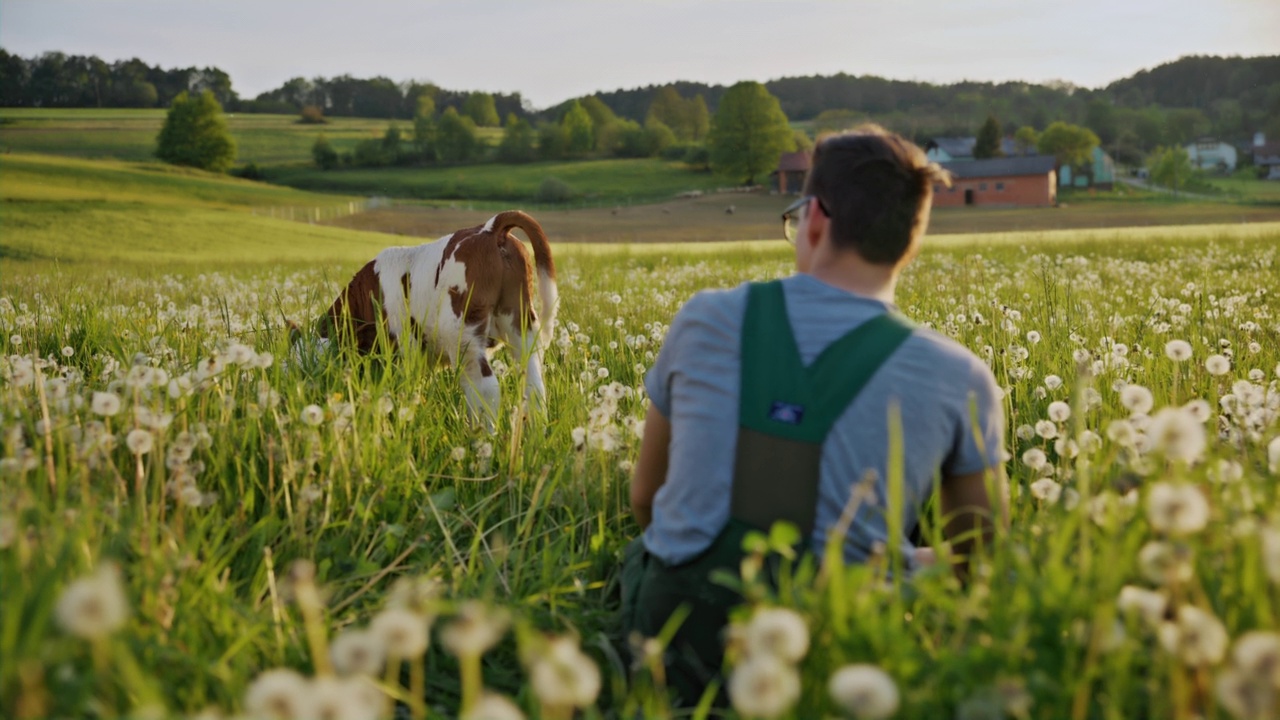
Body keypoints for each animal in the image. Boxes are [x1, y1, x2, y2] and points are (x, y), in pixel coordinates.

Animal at [318, 207, 555, 422]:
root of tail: (490, 228)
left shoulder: (405, 351)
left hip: (462, 336)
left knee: (485, 388)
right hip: (521, 325)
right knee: (534, 385)